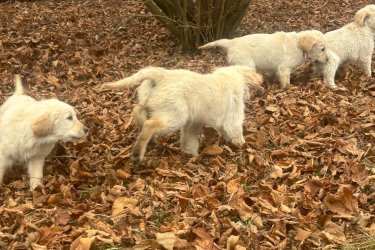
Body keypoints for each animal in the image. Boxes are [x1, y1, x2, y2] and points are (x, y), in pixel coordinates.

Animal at [101, 65, 262, 161]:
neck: (228, 79)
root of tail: (161, 75)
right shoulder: (232, 117)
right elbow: (236, 129)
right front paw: (241, 143)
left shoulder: (193, 122)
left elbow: (189, 139)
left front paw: (191, 154)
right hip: (174, 116)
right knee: (149, 124)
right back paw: (137, 153)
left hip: (152, 104)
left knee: (137, 111)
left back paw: (148, 140)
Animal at [200, 29, 328, 88]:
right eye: (322, 49)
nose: (328, 60)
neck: (298, 45)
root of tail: (231, 42)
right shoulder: (284, 69)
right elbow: (286, 82)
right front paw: (287, 88)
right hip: (247, 64)